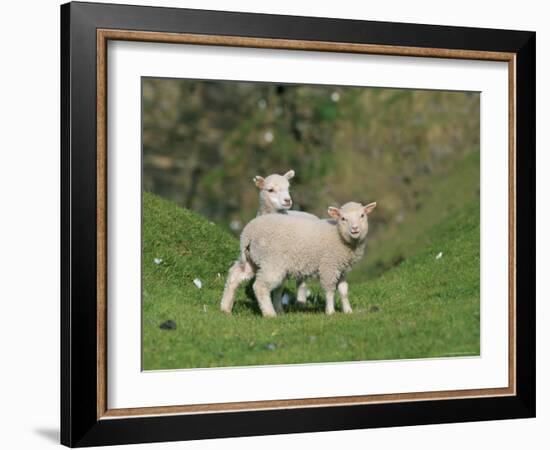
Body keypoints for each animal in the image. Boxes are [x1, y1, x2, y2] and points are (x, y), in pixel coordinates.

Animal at [222, 200, 378, 316]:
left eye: (362, 215)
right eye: (343, 218)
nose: (355, 229)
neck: (338, 235)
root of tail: (247, 233)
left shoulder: (342, 269)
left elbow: (344, 290)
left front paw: (348, 311)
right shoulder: (328, 266)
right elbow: (329, 290)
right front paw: (330, 312)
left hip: (252, 258)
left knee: (235, 275)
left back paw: (225, 307)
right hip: (271, 262)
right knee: (260, 286)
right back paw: (270, 313)